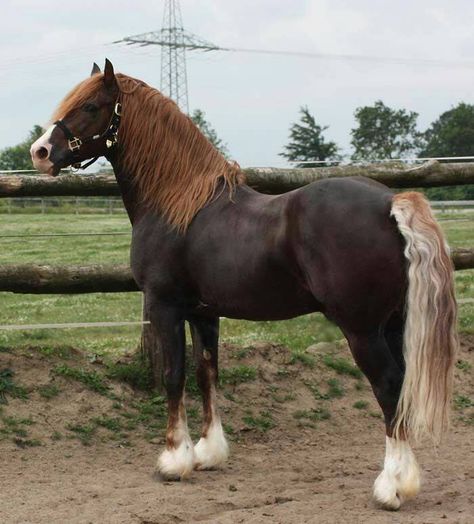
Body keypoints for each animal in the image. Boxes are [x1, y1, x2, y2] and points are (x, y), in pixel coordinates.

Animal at [30, 59, 460, 510]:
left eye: (91, 106)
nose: (39, 152)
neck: (178, 203)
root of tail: (389, 203)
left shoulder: (165, 306)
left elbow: (173, 375)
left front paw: (173, 460)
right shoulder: (204, 313)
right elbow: (207, 374)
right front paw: (208, 453)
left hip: (362, 330)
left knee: (389, 386)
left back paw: (391, 486)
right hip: (394, 323)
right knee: (403, 387)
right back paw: (406, 480)